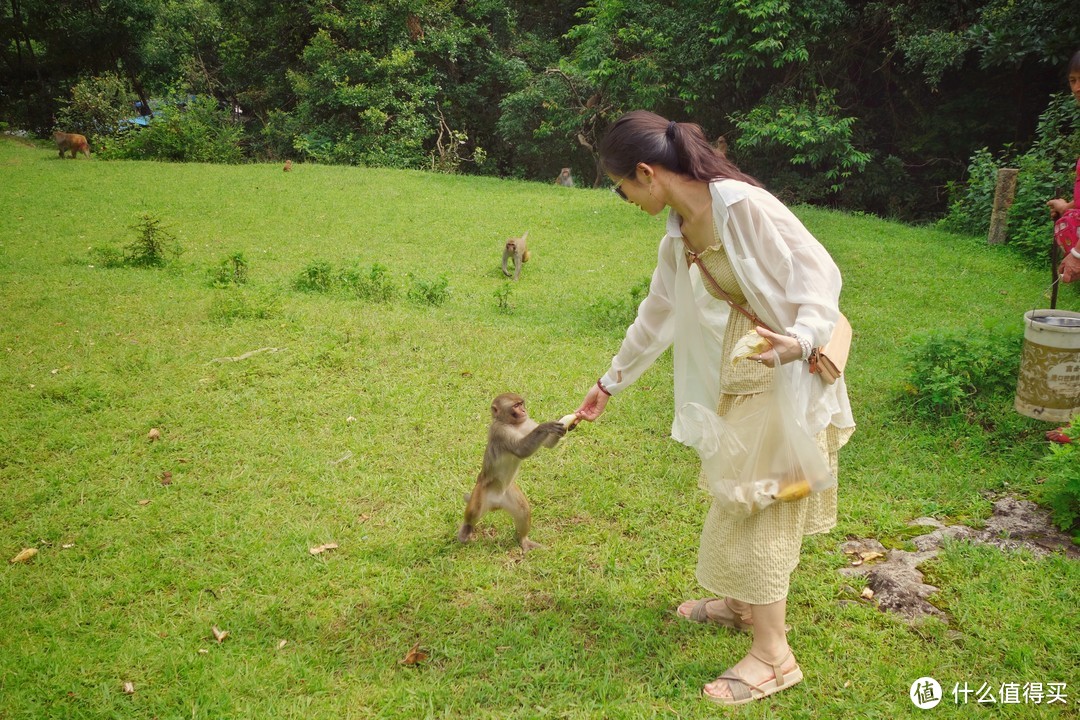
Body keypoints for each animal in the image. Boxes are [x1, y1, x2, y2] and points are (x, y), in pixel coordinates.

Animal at [462, 395, 583, 552]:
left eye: (521, 404)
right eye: (515, 406)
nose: (524, 411)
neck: (513, 425)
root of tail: (495, 504)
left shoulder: (526, 422)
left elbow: (548, 443)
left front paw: (571, 424)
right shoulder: (501, 432)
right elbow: (521, 450)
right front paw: (546, 426)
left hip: (509, 493)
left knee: (523, 511)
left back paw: (523, 540)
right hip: (481, 491)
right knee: (474, 511)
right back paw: (466, 529)